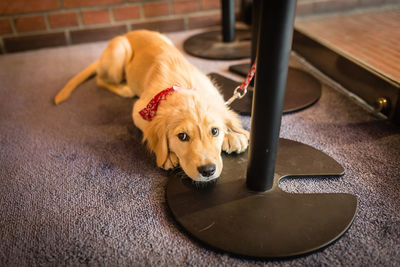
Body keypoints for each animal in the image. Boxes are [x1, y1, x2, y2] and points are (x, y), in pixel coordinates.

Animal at [54, 30, 248, 183]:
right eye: (182, 136)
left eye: (215, 131)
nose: (208, 170)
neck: (183, 86)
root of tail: (128, 33)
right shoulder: (138, 110)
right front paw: (167, 156)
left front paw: (234, 135)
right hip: (118, 53)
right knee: (100, 80)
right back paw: (124, 88)